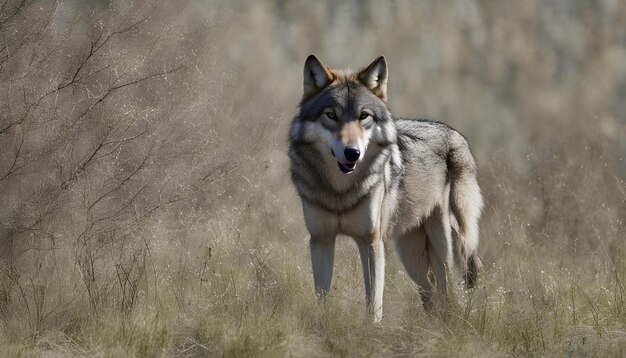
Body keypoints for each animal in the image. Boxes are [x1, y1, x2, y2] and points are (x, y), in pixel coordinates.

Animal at [288, 55, 482, 322]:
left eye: (364, 116)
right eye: (331, 115)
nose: (352, 153)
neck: (340, 191)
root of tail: (454, 134)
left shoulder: (371, 242)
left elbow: (374, 303)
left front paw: (371, 328)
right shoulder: (321, 240)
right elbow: (323, 297)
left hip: (444, 247)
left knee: (448, 292)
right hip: (412, 258)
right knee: (430, 294)